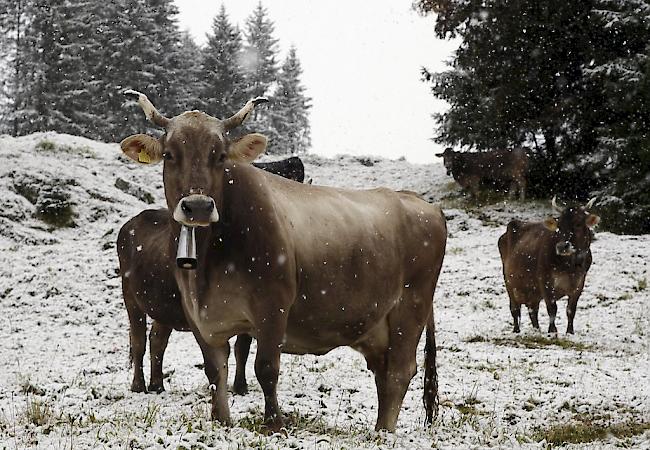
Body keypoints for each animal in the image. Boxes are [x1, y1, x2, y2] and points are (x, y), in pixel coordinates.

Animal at [117, 90, 446, 432]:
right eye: (170, 154)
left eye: (220, 156)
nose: (198, 206)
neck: (209, 262)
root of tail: (420, 202)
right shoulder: (199, 315)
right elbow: (214, 371)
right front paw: (221, 420)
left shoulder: (273, 306)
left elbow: (265, 367)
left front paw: (274, 422)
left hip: (410, 307)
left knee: (399, 371)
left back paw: (383, 431)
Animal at [498, 197, 600, 334]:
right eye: (559, 226)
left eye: (578, 224)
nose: (562, 246)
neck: (570, 266)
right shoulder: (545, 282)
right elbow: (552, 309)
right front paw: (552, 331)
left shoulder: (579, 284)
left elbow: (571, 310)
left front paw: (570, 332)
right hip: (510, 283)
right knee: (515, 309)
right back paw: (516, 330)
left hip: (532, 290)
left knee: (532, 310)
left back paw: (536, 330)